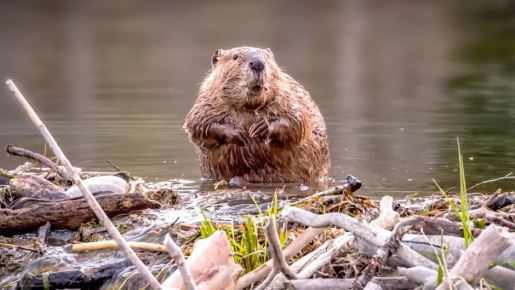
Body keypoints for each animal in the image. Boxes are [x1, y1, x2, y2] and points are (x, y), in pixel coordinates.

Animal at [183, 46, 332, 181]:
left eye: (266, 57)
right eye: (235, 57)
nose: (258, 63)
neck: (249, 107)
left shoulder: (288, 96)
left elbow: (298, 120)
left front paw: (260, 128)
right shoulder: (206, 100)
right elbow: (197, 124)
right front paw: (238, 133)